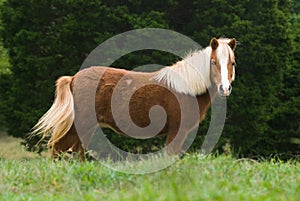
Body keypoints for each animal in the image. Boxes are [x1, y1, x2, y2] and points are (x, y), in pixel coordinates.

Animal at [31, 37, 237, 160]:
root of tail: (73, 78)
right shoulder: (176, 131)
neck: (186, 87)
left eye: (232, 63)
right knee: (58, 149)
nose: (225, 88)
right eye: (213, 62)